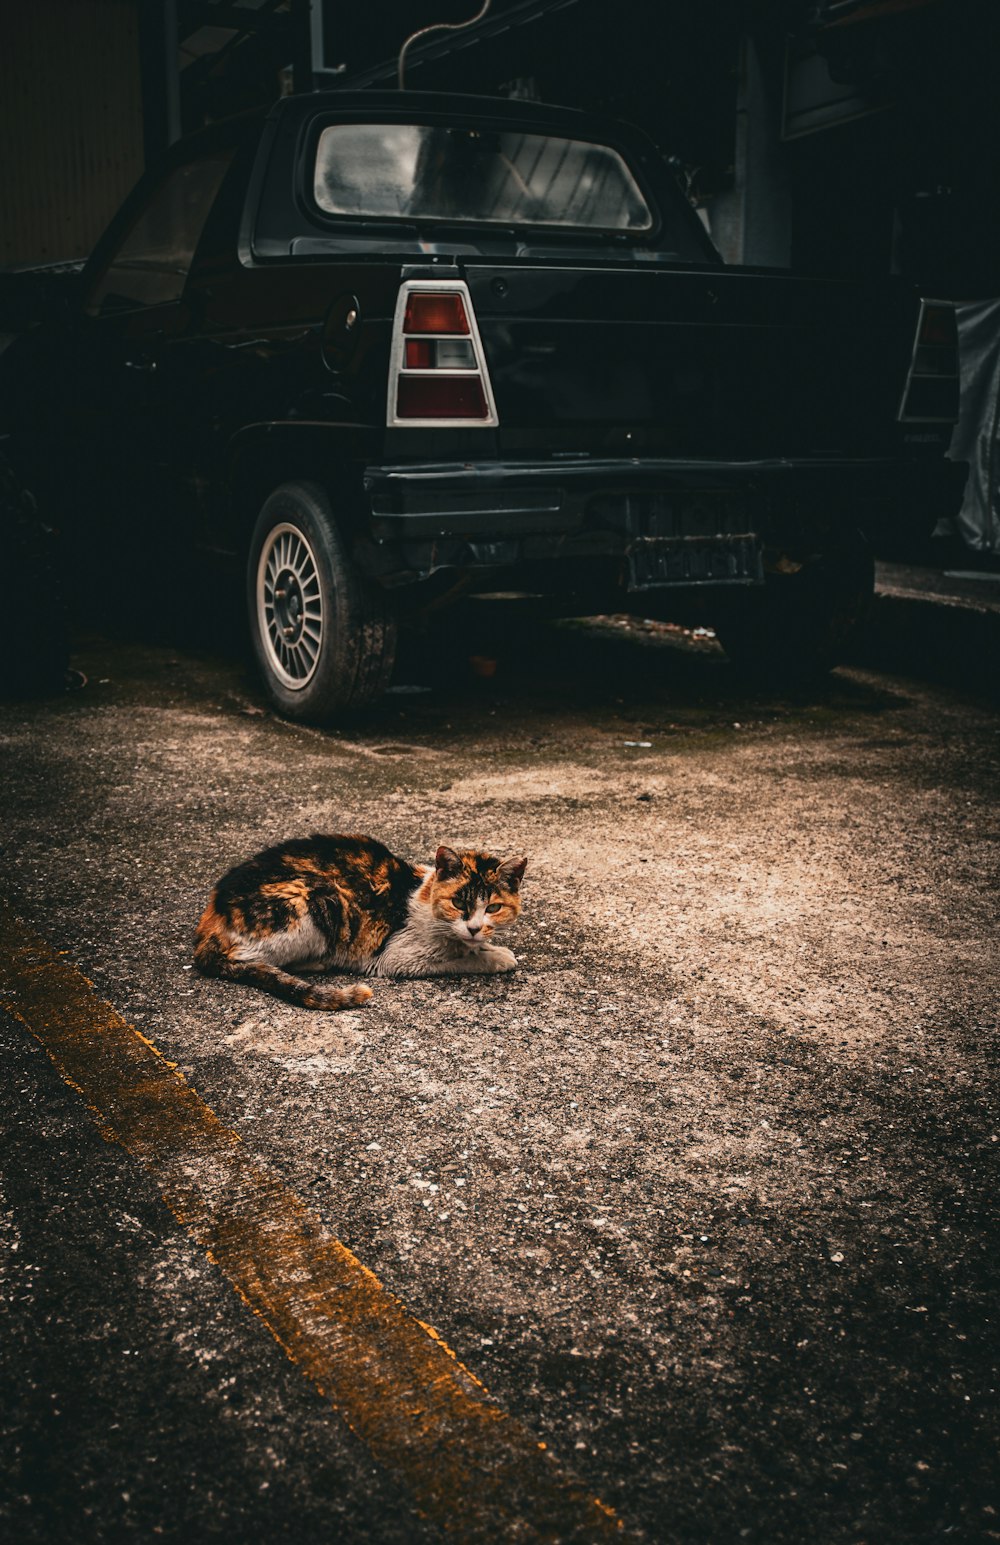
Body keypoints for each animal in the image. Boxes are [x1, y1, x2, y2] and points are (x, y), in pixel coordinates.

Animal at [190, 840, 528, 1007]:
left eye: (493, 907)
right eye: (458, 903)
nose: (474, 928)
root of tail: (211, 918)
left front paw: (487, 945)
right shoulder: (399, 957)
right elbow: (460, 957)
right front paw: (495, 957)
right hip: (318, 899)